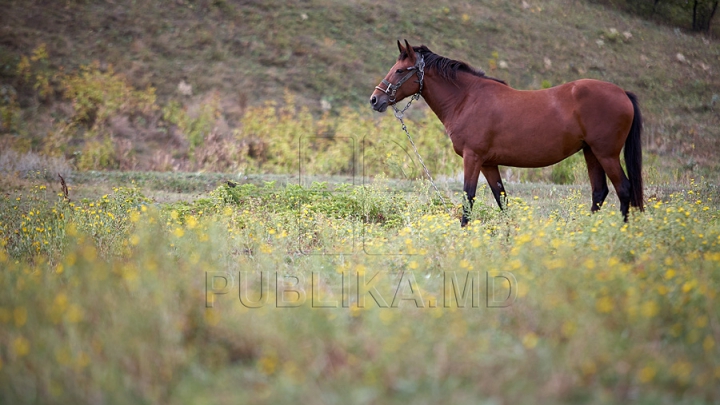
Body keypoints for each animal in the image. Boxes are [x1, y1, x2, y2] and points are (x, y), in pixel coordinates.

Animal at [368, 40, 644, 227]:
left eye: (400, 70)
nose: (375, 99)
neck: (466, 99)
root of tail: (623, 93)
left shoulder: (473, 158)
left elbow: (468, 199)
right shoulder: (488, 164)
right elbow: (502, 200)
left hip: (606, 154)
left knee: (624, 190)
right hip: (591, 152)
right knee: (599, 192)